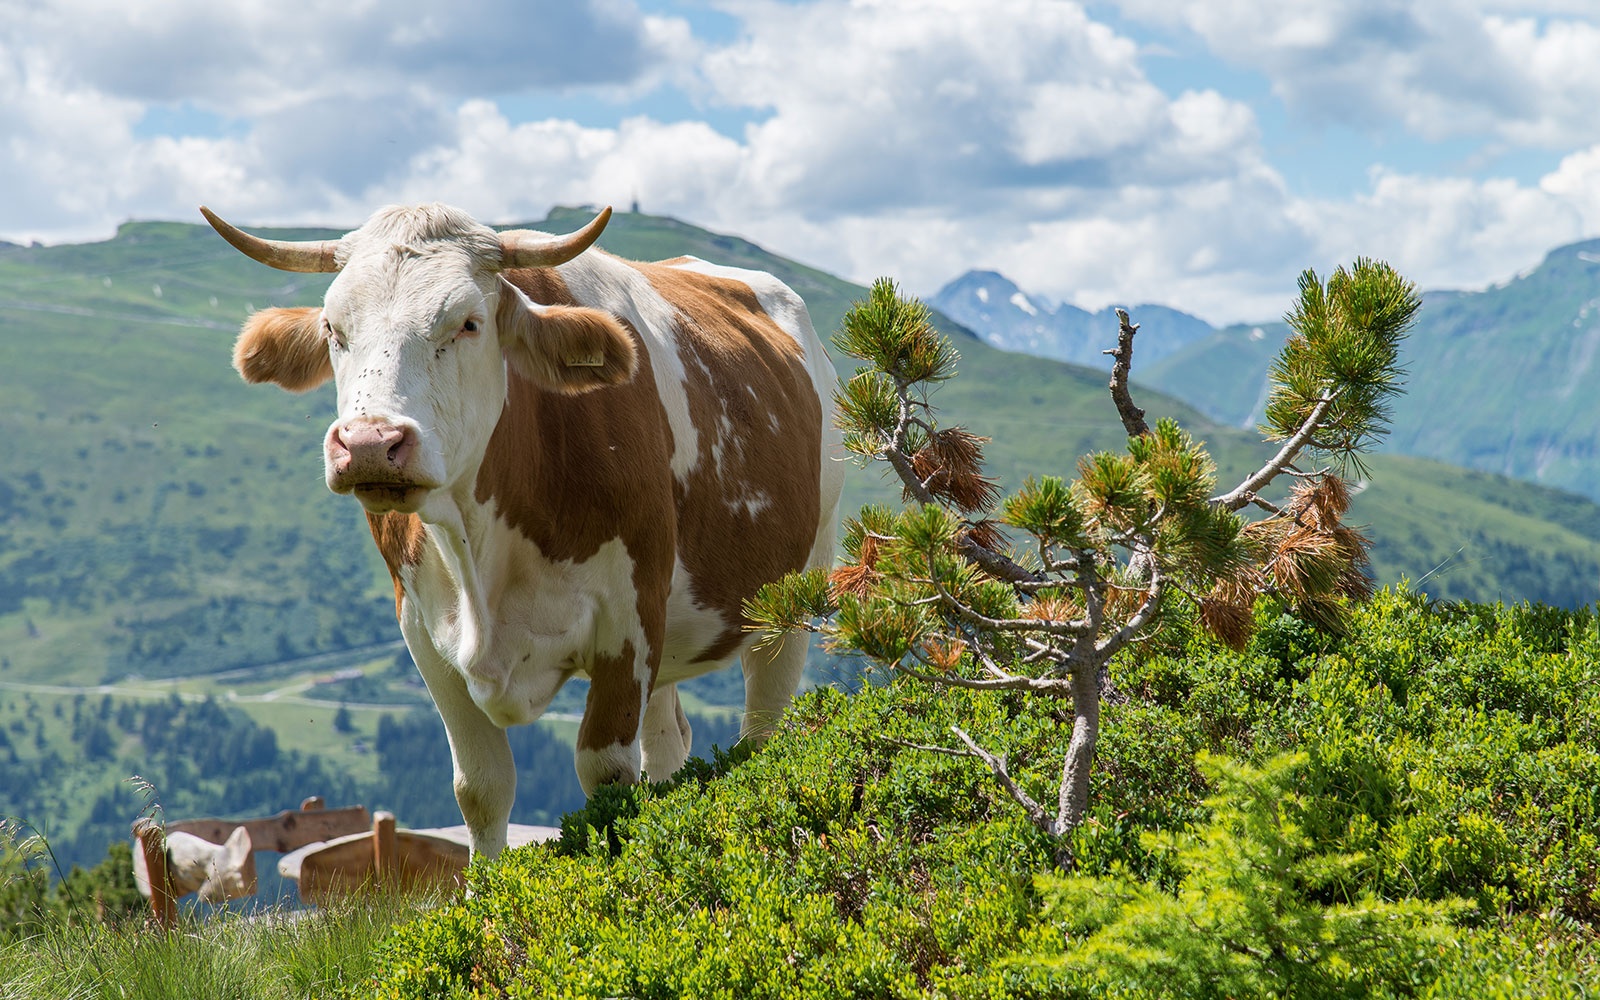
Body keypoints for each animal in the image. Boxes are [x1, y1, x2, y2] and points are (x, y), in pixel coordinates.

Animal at [206, 200, 844, 857]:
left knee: (763, 726)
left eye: (468, 323)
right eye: (334, 328)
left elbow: (606, 773)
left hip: (794, 593)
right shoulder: (422, 633)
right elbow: (481, 788)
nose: (369, 444)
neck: (480, 554)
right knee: (668, 740)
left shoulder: (630, 619)